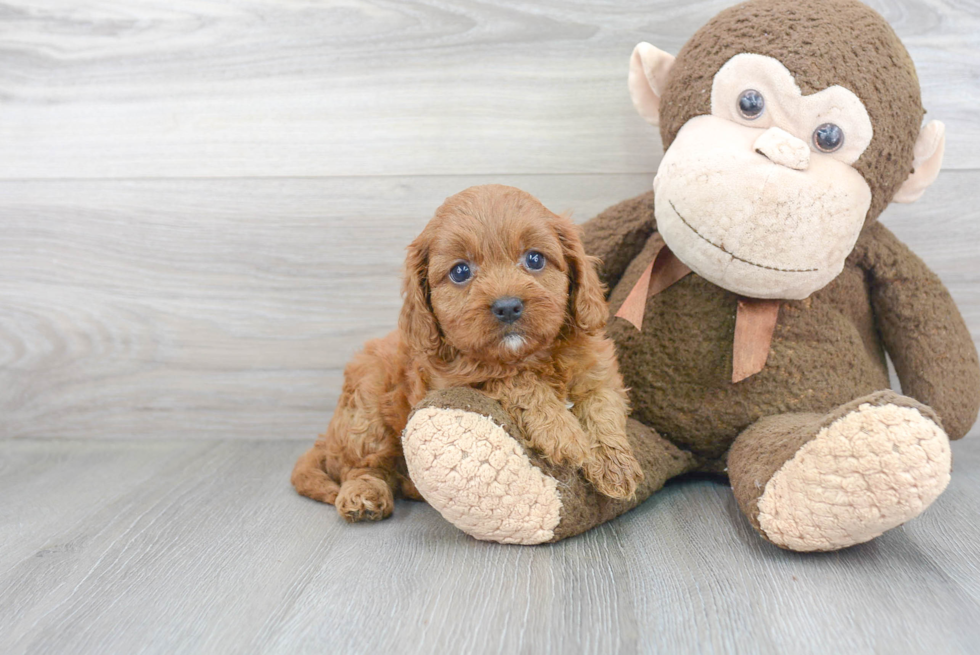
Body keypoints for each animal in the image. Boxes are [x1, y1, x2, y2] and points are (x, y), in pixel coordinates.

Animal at [290, 184, 644, 524]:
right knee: (361, 466)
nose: (507, 306)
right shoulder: (455, 381)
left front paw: (616, 466)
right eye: (460, 272)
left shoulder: (597, 371)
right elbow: (515, 381)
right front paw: (562, 432)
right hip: (367, 407)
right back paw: (363, 495)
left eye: (535, 259)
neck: (531, 356)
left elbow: (602, 408)